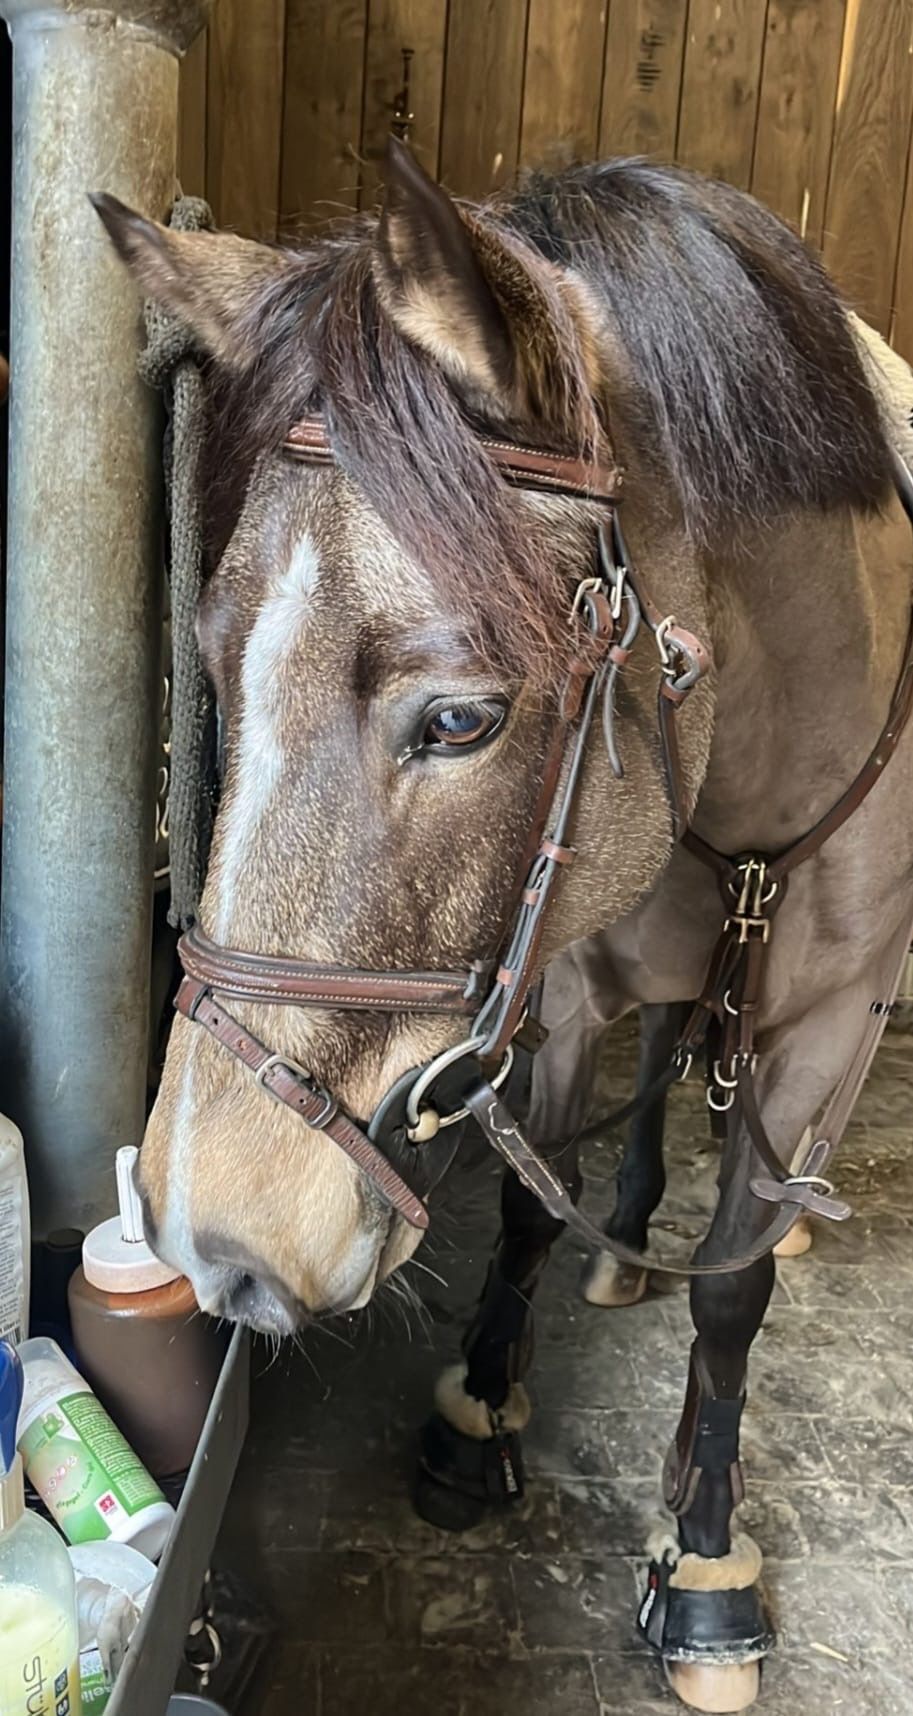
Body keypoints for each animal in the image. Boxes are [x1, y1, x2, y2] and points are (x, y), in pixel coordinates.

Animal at [95, 144, 913, 1712]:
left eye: (463, 719)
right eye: (216, 665)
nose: (207, 1233)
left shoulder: (824, 1030)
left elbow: (730, 1300)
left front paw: (703, 1564)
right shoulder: (567, 979)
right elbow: (536, 1198)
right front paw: (481, 1413)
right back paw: (627, 1233)